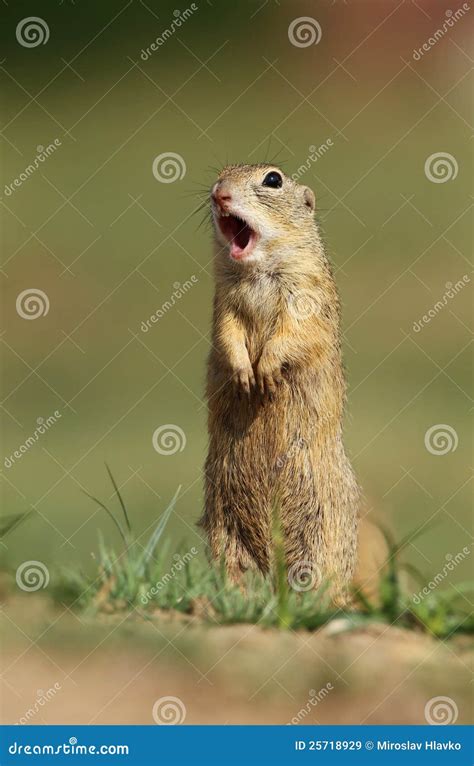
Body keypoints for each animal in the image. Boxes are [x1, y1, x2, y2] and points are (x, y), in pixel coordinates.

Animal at [199, 164, 360, 602]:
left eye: (273, 180)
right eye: (219, 174)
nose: (219, 193)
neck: (255, 271)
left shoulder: (307, 292)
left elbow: (295, 331)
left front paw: (267, 370)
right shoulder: (223, 300)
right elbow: (227, 332)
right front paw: (243, 372)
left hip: (319, 531)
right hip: (223, 527)